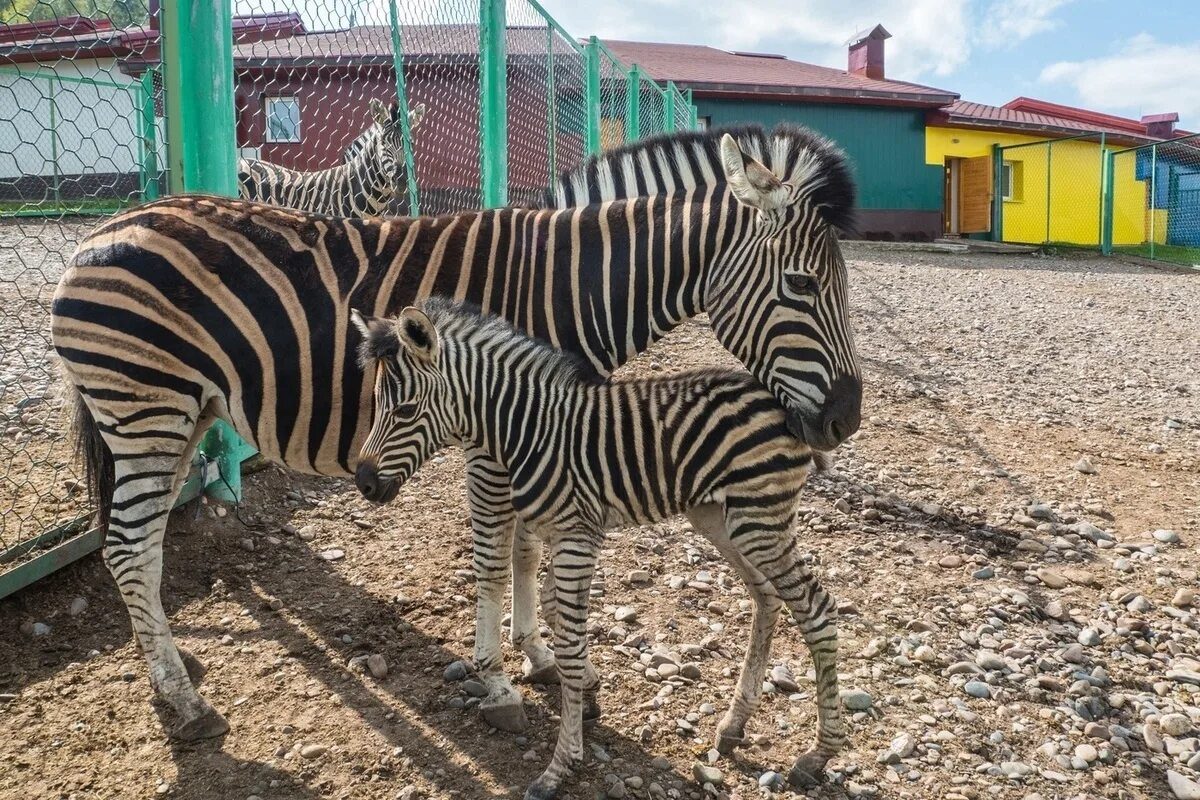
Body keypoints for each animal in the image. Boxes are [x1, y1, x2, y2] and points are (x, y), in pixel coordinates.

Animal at [51, 126, 864, 743]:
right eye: (801, 286)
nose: (845, 420)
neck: (564, 289)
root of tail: (102, 228)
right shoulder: (493, 435)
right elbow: (493, 559)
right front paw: (498, 681)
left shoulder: (544, 430)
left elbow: (528, 550)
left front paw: (539, 655)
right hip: (146, 410)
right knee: (127, 547)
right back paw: (185, 702)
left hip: (182, 415)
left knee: (144, 544)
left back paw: (172, 670)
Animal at [352, 297, 844, 796]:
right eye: (376, 404)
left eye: (405, 410)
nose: (364, 483)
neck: (525, 429)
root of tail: (786, 407)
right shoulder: (558, 534)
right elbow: (553, 613)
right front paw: (584, 696)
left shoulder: (576, 536)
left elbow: (568, 642)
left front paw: (560, 765)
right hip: (720, 517)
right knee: (767, 596)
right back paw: (734, 724)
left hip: (760, 519)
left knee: (816, 609)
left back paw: (818, 754)